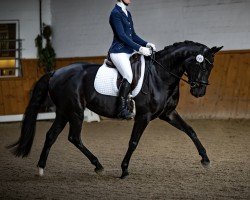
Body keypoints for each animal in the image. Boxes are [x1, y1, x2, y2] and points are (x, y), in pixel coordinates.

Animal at [8, 40, 223, 178]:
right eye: (202, 65)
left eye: (211, 67)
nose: (199, 92)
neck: (160, 75)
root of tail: (55, 72)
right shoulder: (143, 116)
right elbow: (133, 142)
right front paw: (124, 169)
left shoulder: (168, 114)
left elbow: (191, 131)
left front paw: (205, 160)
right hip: (75, 111)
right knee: (74, 137)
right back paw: (98, 166)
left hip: (63, 112)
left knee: (51, 135)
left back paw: (41, 169)